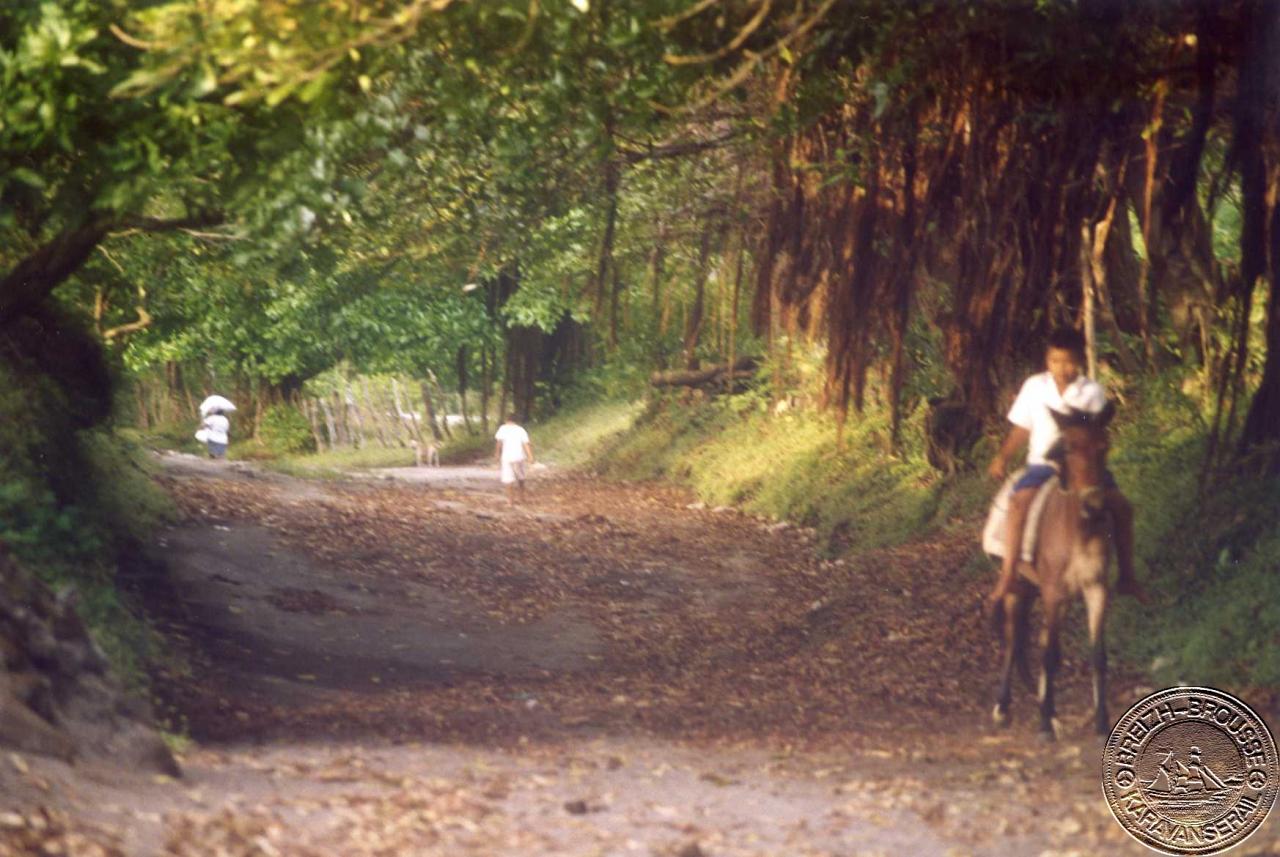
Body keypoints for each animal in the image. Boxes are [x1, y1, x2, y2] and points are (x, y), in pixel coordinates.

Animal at [988, 399, 1121, 741]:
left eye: (1104, 446)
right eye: (1069, 448)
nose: (1094, 505)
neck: (1077, 531)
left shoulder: (1096, 589)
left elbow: (1097, 656)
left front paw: (1101, 721)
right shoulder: (1053, 593)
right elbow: (1050, 654)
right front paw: (1045, 724)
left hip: (1041, 594)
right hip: (1019, 588)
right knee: (1013, 642)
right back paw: (1003, 708)